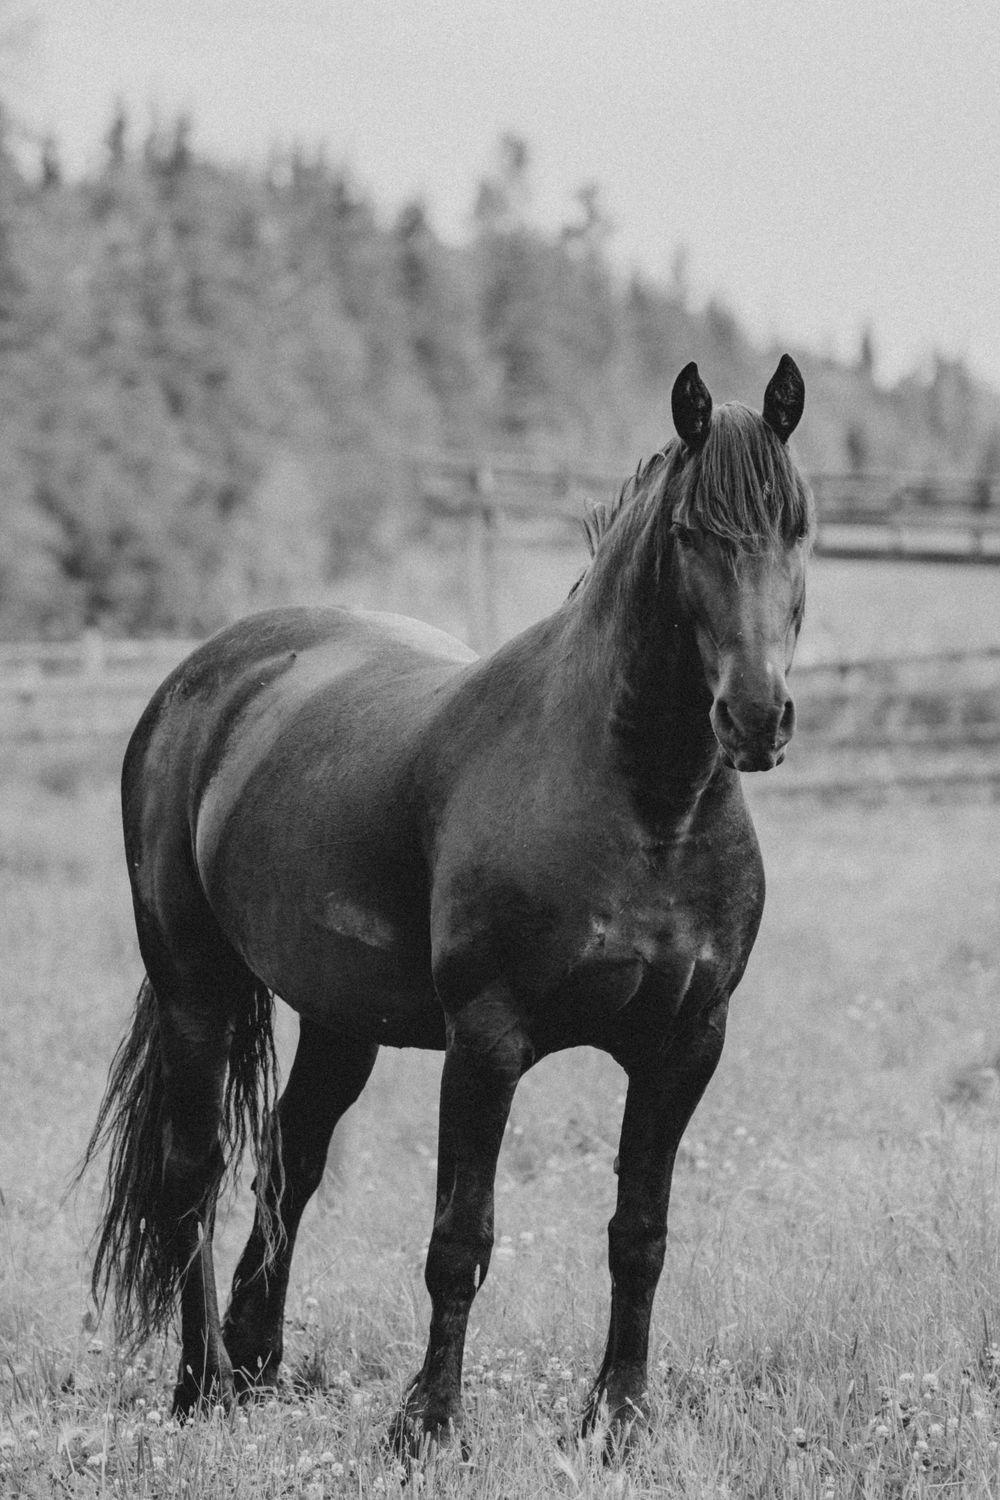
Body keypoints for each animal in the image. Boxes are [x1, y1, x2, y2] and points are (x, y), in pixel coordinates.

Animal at [81, 355, 812, 1452]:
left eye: (798, 527)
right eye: (692, 535)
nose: (757, 718)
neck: (641, 803)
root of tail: (198, 682)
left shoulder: (685, 1045)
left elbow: (639, 1235)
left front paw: (617, 1419)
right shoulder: (487, 1042)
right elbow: (459, 1238)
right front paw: (427, 1425)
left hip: (339, 1018)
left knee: (288, 1161)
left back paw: (255, 1364)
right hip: (193, 990)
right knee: (195, 1171)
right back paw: (201, 1383)